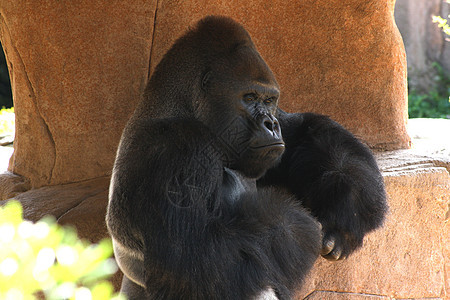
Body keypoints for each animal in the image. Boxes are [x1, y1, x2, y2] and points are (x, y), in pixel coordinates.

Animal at [105, 16, 386, 300]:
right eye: (249, 97)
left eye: (270, 100)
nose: (270, 124)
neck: (178, 107)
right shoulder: (177, 148)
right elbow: (198, 256)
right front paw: (299, 226)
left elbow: (304, 133)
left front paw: (344, 209)